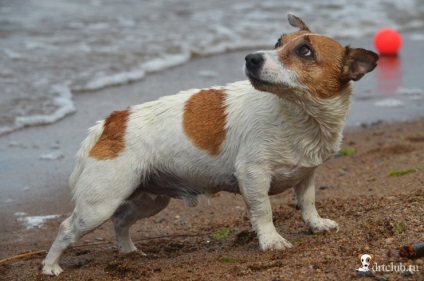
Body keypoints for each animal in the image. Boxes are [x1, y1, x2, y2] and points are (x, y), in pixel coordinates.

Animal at [41, 13, 380, 274]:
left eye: (305, 51)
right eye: (277, 43)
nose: (251, 58)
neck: (297, 115)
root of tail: (113, 121)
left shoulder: (306, 174)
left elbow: (307, 202)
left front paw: (316, 224)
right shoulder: (253, 175)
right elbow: (264, 211)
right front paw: (271, 241)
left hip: (149, 199)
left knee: (121, 221)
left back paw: (128, 252)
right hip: (99, 204)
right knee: (67, 229)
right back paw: (50, 266)